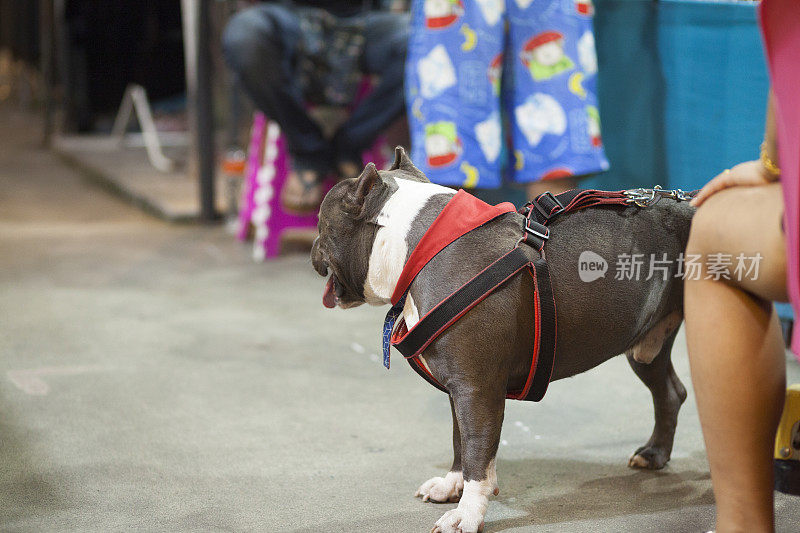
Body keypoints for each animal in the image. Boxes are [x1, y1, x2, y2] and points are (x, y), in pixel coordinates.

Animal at [310, 148, 692, 528]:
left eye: (320, 224)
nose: (313, 246)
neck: (420, 249)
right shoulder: (460, 388)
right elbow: (460, 441)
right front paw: (451, 485)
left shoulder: (476, 389)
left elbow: (477, 453)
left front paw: (466, 514)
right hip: (646, 346)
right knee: (670, 392)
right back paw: (654, 453)